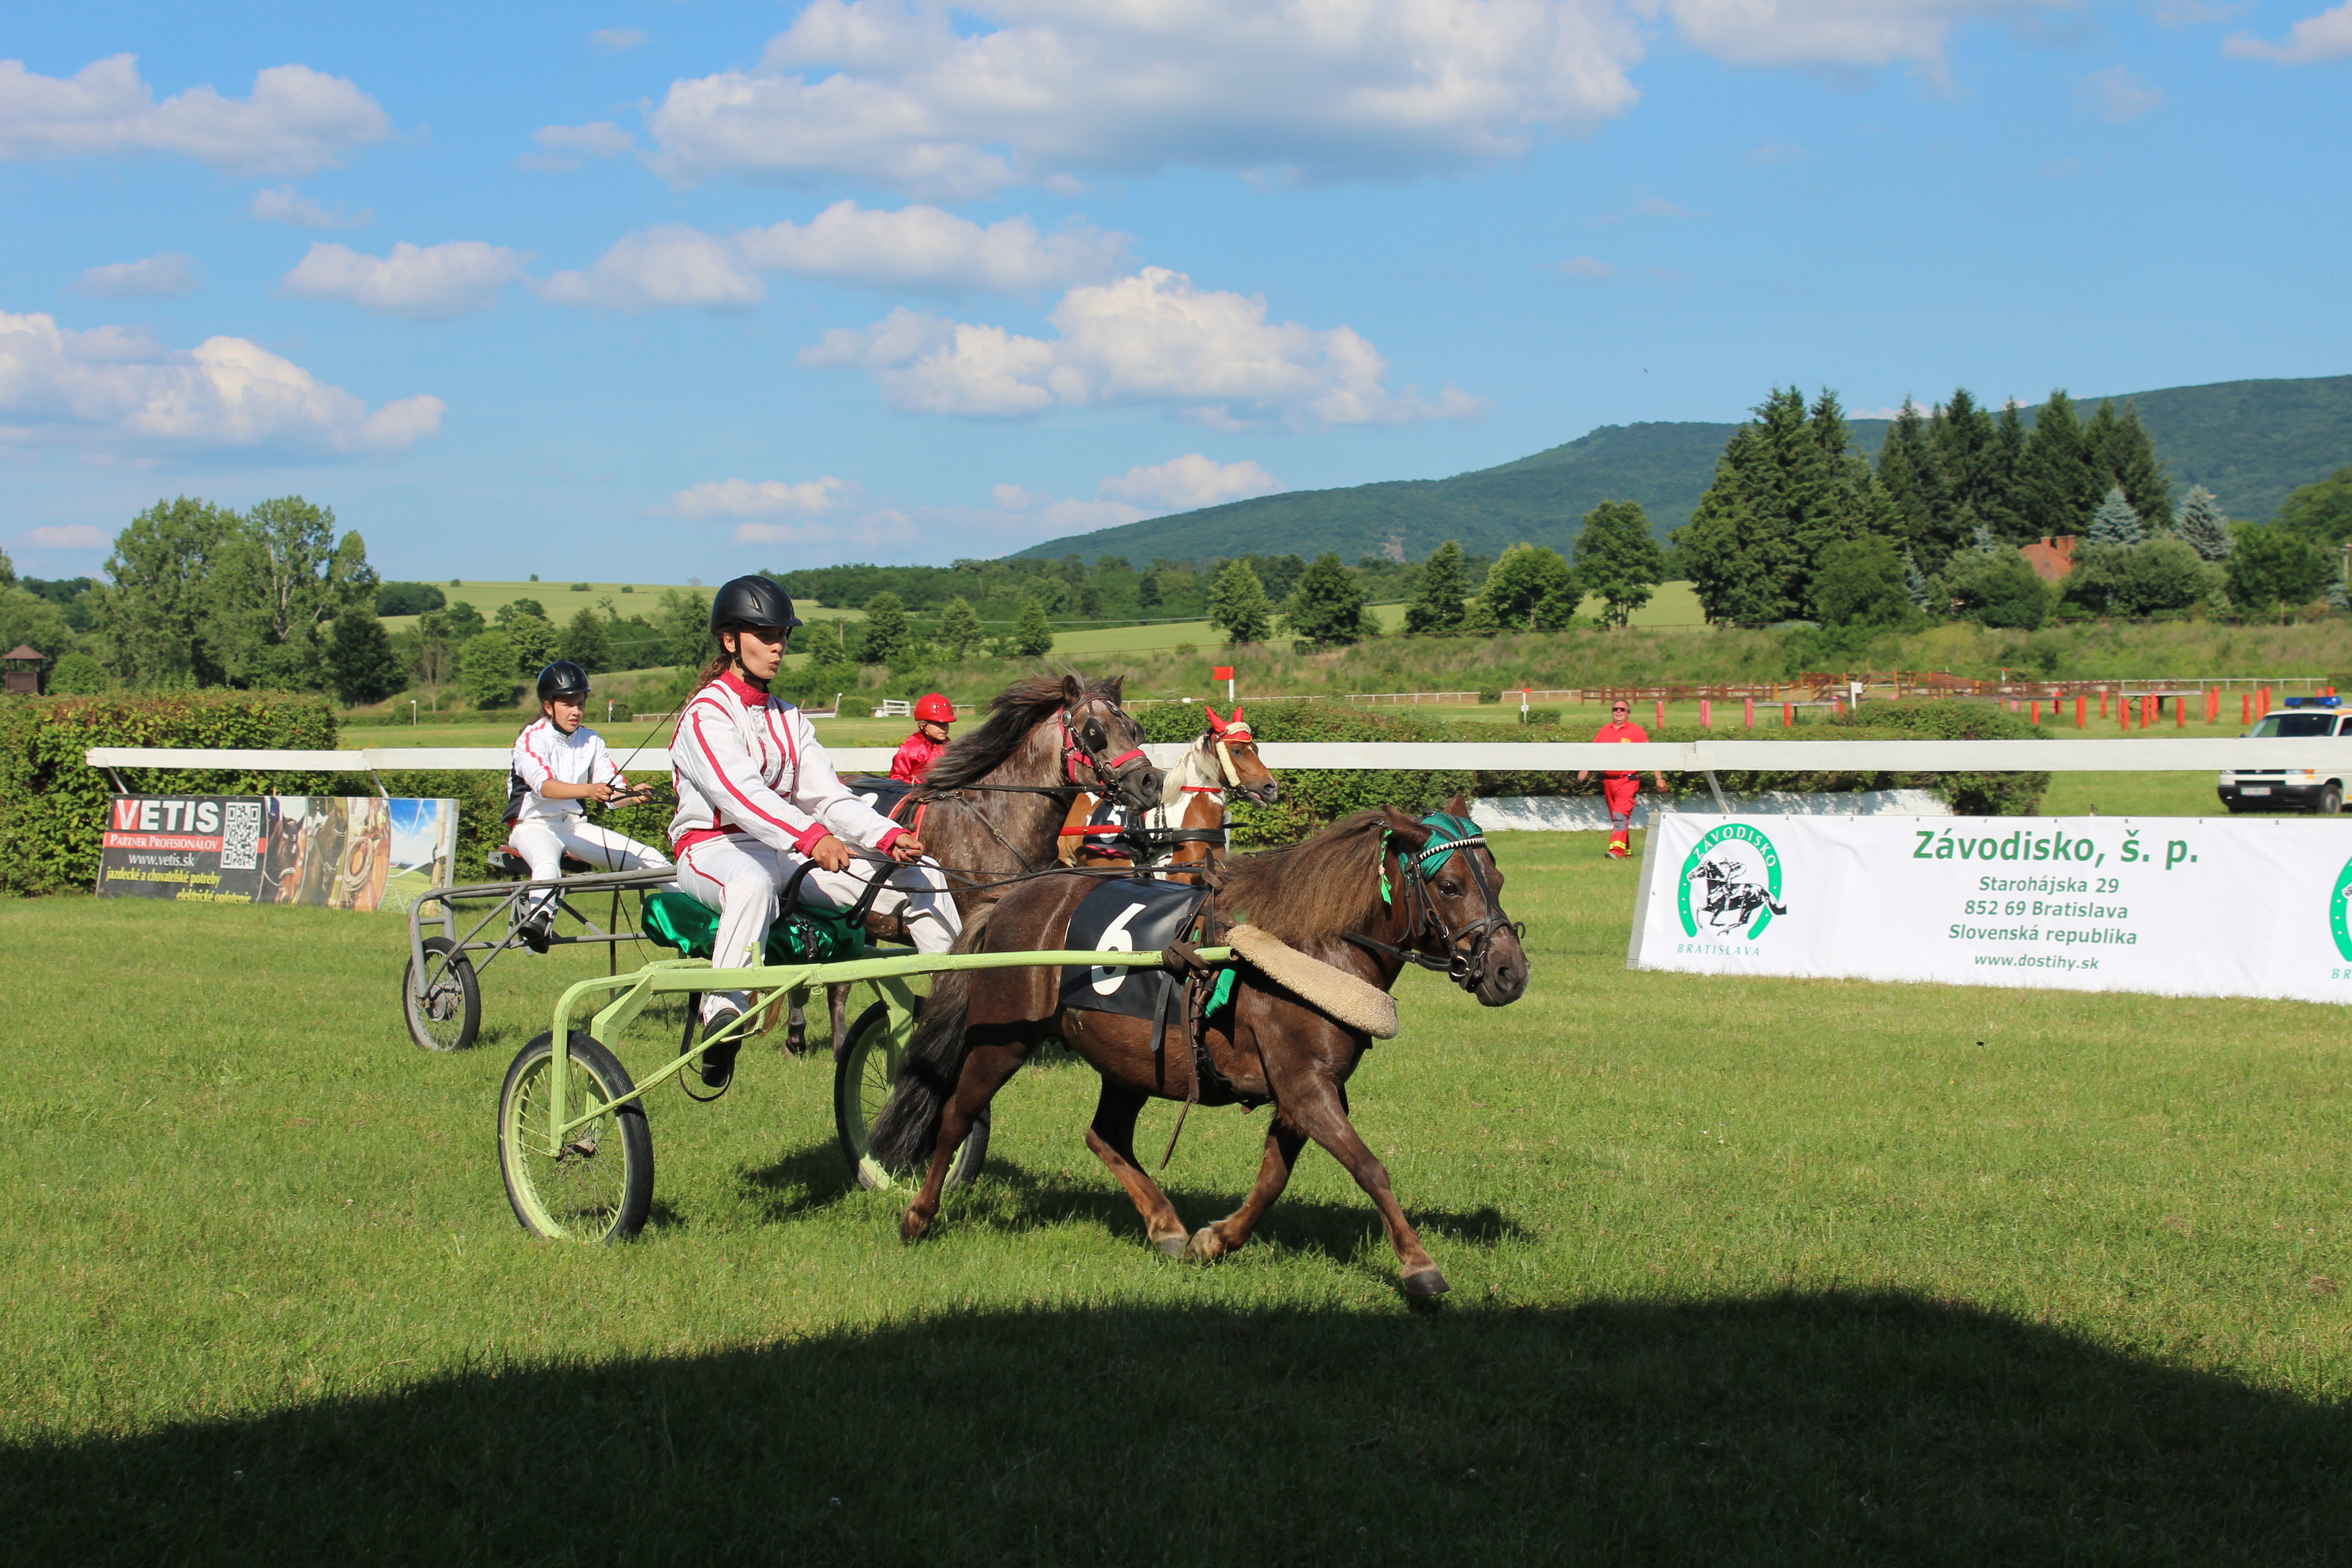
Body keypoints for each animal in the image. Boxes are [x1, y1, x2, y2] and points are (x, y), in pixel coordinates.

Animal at [875, 799, 1533, 1297]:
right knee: (956, 1114)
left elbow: (1273, 1178)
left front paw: (1215, 1240)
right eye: (1449, 885)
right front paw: (1419, 1267)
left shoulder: (1306, 1090)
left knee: (1105, 1136)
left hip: (1130, 1059)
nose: (1510, 972)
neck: (1308, 947)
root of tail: (1009, 899)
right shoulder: (1305, 1085)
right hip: (1004, 1040)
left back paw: (1165, 1224)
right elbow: (1369, 1168)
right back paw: (917, 1215)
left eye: (1499, 881)